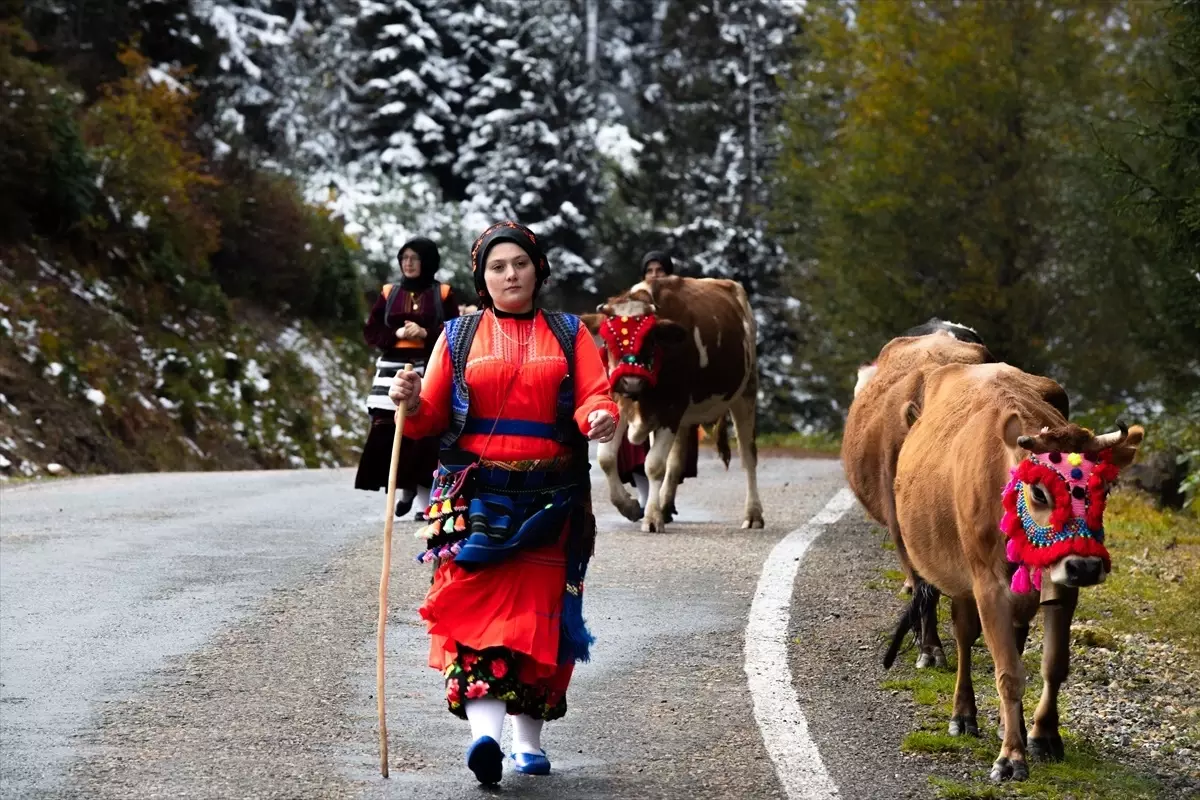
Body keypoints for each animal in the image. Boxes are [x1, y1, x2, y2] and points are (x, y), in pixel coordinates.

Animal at [580, 275, 758, 532]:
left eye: (650, 338)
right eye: (607, 339)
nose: (631, 381)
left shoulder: (670, 409)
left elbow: (654, 465)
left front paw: (652, 518)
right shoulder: (621, 401)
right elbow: (606, 458)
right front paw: (629, 507)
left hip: (746, 391)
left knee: (748, 456)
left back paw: (753, 514)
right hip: (684, 417)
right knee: (675, 462)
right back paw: (664, 507)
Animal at [892, 362, 1142, 782]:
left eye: (1105, 488)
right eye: (1039, 492)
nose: (1086, 565)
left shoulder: (1063, 583)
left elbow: (1053, 664)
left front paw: (1044, 736)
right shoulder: (987, 584)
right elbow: (1008, 673)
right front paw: (1010, 757)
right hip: (957, 573)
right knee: (964, 635)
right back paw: (963, 715)